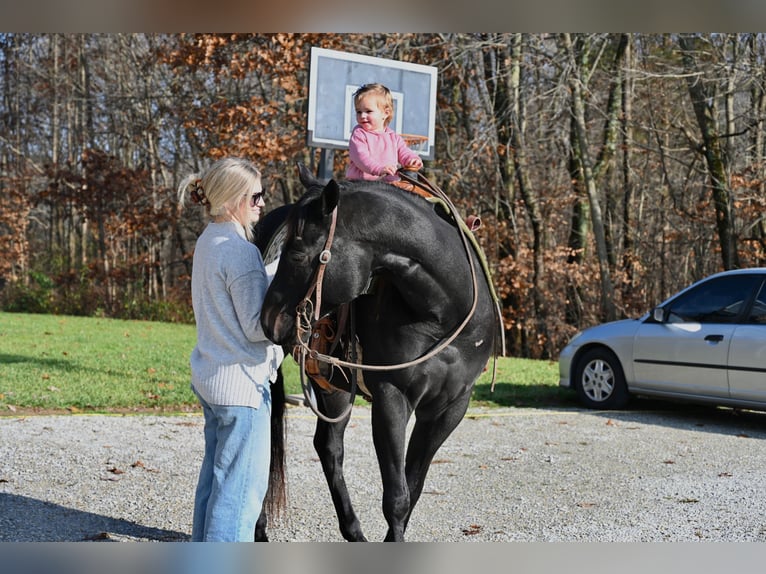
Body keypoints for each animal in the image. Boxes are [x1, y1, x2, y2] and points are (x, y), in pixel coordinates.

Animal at [257, 164, 500, 542]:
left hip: (334, 384)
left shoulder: (450, 407)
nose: (269, 318)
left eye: (296, 255)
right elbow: (397, 497)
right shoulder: (391, 397)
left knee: (329, 448)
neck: (444, 311)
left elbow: (413, 488)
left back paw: (353, 531)